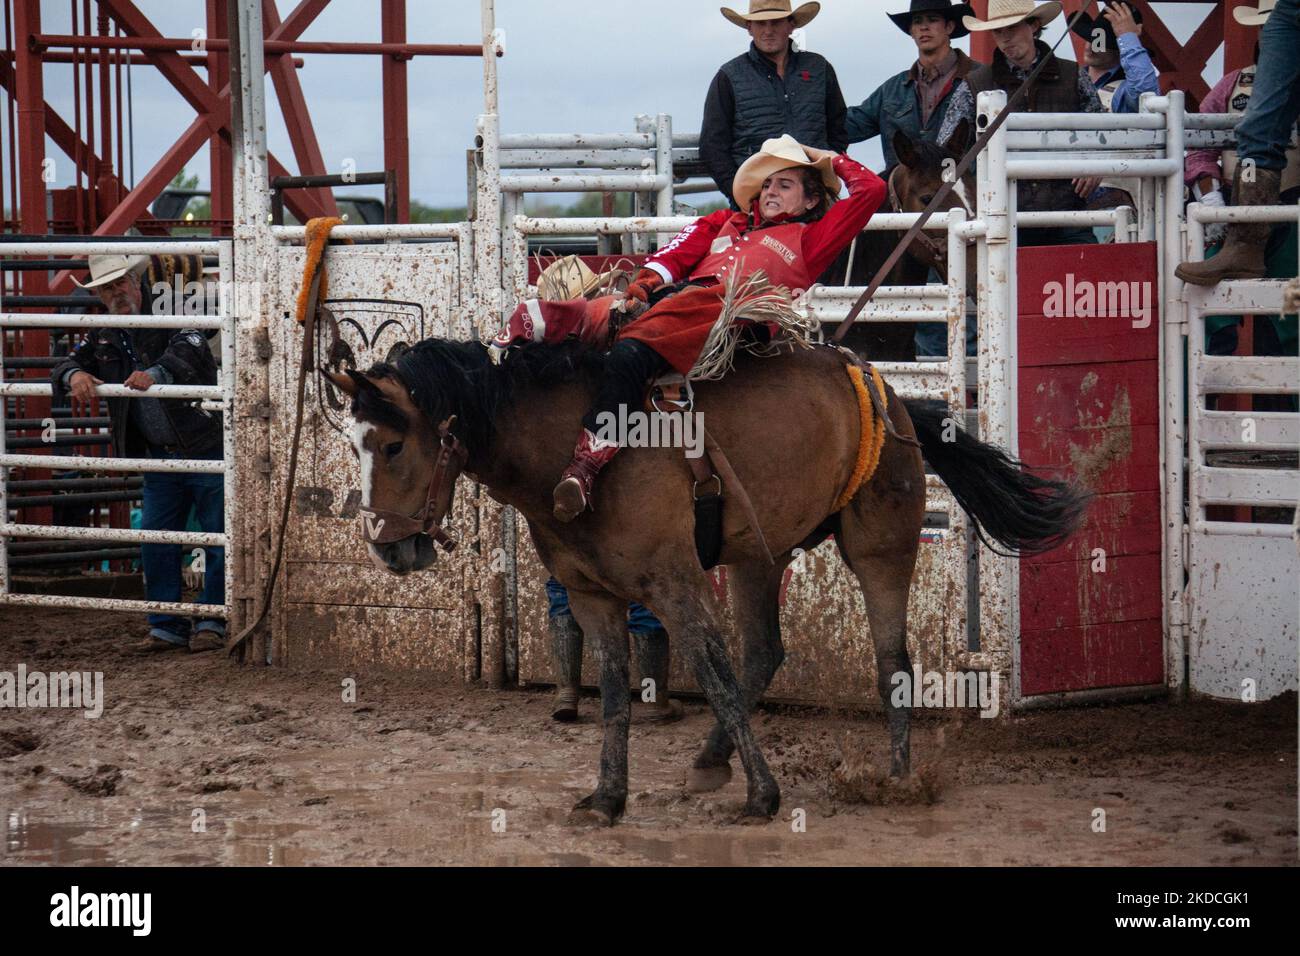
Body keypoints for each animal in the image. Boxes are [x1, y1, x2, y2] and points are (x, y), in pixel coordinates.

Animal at [325, 332, 1086, 827]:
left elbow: (711, 673)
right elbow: (614, 695)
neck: (572, 452)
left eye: (393, 444)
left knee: (891, 661)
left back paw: (894, 780)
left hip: (881, 544)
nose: (388, 549)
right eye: (353, 445)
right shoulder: (594, 597)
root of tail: (891, 392)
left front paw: (763, 797)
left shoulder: (674, 584)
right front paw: (606, 800)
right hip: (758, 556)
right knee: (766, 651)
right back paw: (711, 760)